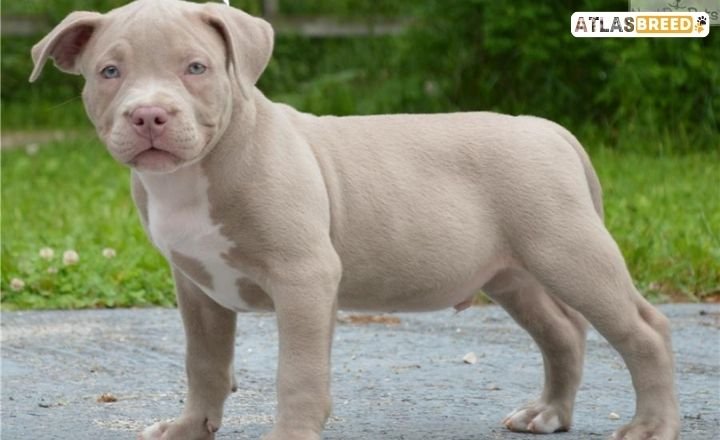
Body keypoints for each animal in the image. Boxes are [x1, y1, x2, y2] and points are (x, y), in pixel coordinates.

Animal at [29, 0, 680, 440]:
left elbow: (297, 371)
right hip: (513, 274)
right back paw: (548, 414)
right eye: (109, 72)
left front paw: (290, 434)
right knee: (563, 332)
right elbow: (204, 364)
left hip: (569, 252)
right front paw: (191, 427)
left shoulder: (304, 276)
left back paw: (651, 425)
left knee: (644, 329)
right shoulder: (197, 287)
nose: (149, 117)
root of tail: (551, 131)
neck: (198, 170)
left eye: (196, 68)